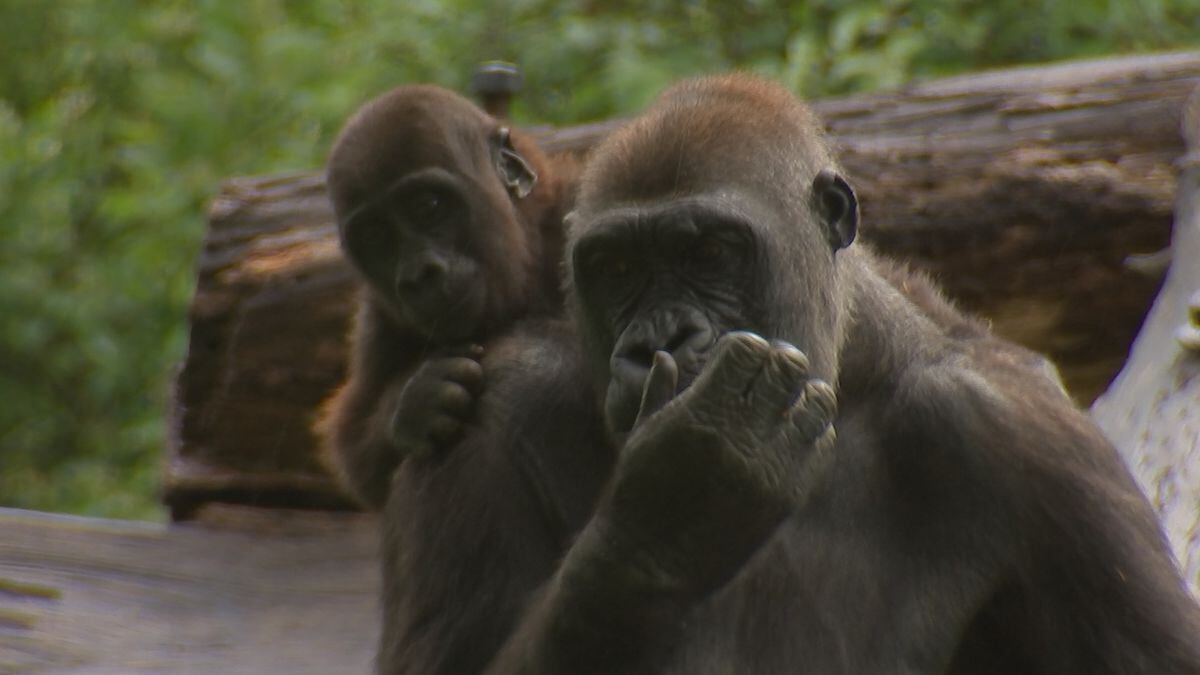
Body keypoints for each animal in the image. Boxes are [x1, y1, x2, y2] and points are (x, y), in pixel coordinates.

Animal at [316, 84, 577, 510]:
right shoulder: (378, 321)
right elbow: (356, 448)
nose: (417, 276)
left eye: (429, 207)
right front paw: (414, 404)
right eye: (375, 235)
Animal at [373, 74, 1200, 674]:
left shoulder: (1031, 438)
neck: (844, 372)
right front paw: (667, 517)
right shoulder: (488, 411)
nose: (658, 340)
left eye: (711, 252)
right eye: (617, 270)